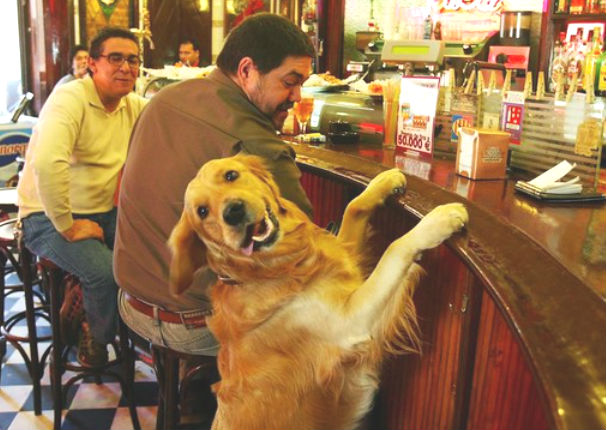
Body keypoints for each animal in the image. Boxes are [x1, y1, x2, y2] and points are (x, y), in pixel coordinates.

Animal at [169, 155, 468, 430]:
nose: (233, 212)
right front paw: (438, 220)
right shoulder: (350, 324)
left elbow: (353, 207)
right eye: (203, 211)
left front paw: (384, 180)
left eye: (230, 175)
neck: (277, 267)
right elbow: (395, 247)